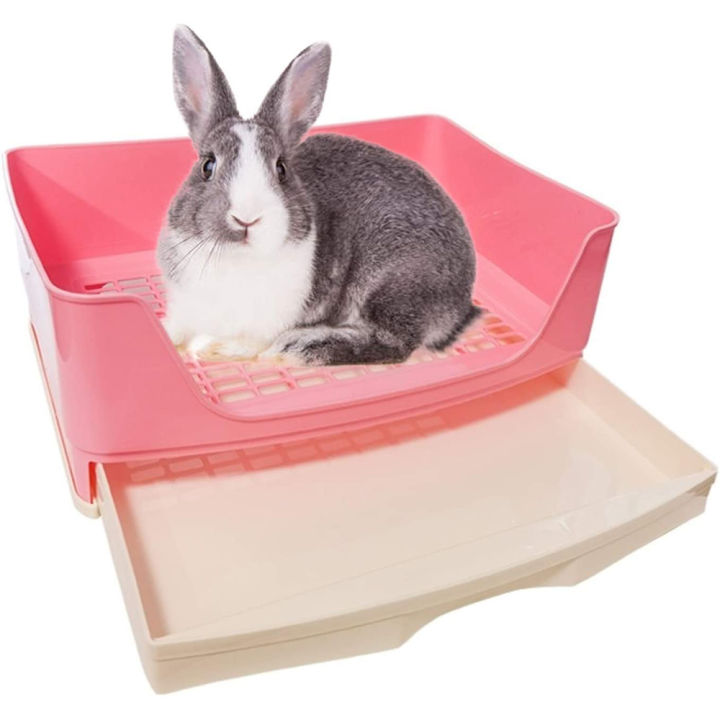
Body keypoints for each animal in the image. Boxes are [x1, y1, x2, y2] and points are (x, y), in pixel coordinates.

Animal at [157, 25, 480, 365]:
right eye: (208, 165)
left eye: (281, 169)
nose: (246, 219)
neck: (236, 260)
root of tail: (461, 303)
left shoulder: (265, 326)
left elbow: (246, 344)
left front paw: (209, 348)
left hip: (394, 281)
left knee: (393, 342)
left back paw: (300, 347)